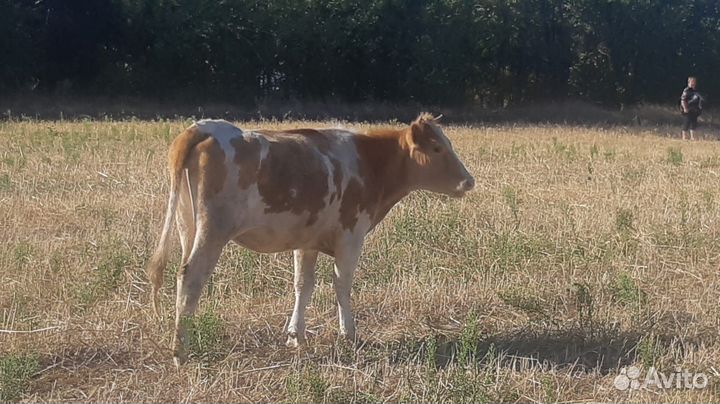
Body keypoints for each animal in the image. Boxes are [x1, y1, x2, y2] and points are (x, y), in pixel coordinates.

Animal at [146, 113, 475, 365]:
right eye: (437, 148)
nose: (469, 181)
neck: (369, 162)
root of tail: (204, 127)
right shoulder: (350, 236)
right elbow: (342, 285)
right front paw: (349, 334)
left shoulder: (307, 241)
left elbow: (302, 285)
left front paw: (296, 335)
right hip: (213, 231)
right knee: (191, 278)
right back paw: (180, 353)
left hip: (188, 226)